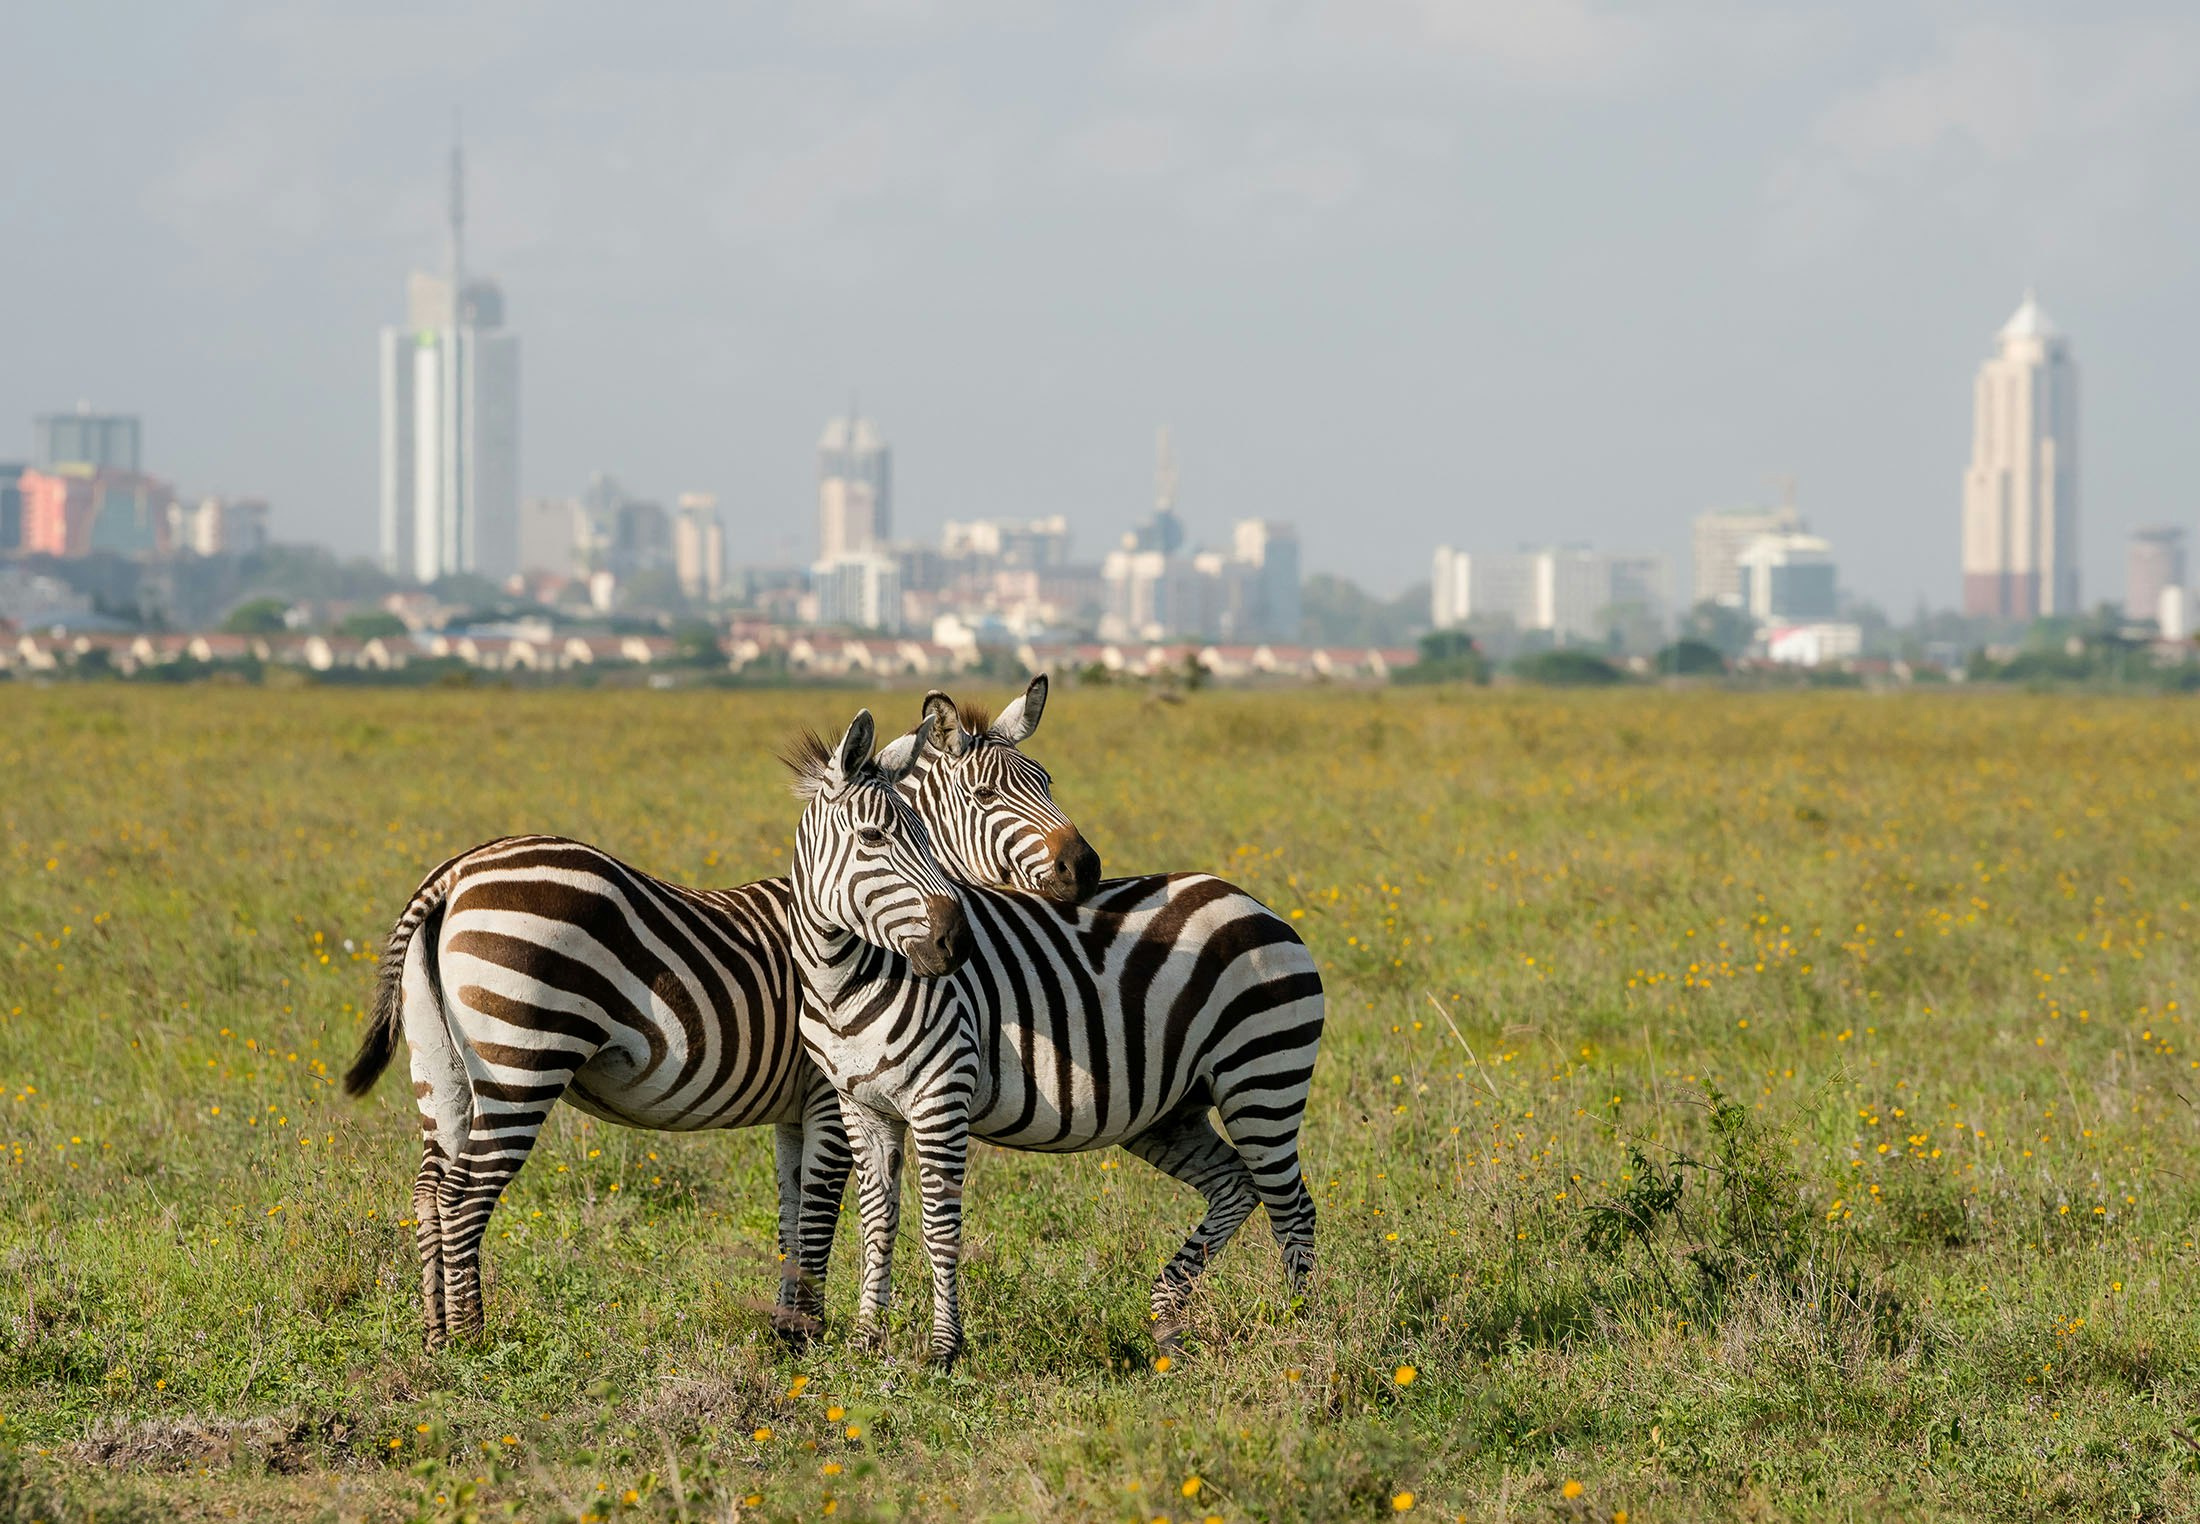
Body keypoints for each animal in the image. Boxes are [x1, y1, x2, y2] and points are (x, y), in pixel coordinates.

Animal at [343, 677, 1091, 1345]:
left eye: (1049, 782)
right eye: (987, 795)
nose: (1085, 868)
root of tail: (454, 874)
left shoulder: (795, 1109)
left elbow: (792, 1211)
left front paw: (789, 1329)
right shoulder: (829, 1094)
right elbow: (820, 1211)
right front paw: (808, 1333)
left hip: (441, 1066)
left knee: (431, 1188)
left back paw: (435, 1336)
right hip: (522, 1059)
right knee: (467, 1194)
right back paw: (474, 1340)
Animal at [787, 699, 1320, 1363]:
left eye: (925, 840)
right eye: (872, 837)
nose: (957, 944)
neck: (844, 981)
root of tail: (1252, 902)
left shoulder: (941, 1098)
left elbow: (939, 1225)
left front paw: (943, 1350)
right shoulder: (860, 1105)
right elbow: (876, 1219)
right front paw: (865, 1342)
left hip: (1262, 1080)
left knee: (1292, 1207)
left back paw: (1303, 1332)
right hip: (1170, 1111)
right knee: (1236, 1186)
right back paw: (1168, 1319)